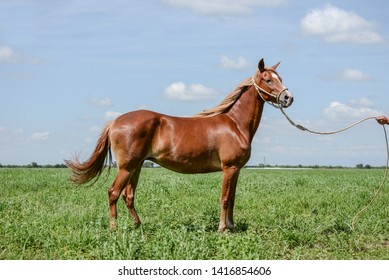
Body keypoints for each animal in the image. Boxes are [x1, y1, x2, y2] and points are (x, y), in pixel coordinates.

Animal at [66, 58, 292, 232]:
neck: (234, 124)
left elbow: (233, 199)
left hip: (136, 167)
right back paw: (114, 228)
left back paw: (138, 225)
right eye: (268, 79)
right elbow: (225, 198)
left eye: (280, 79)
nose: (288, 97)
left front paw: (231, 226)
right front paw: (222, 229)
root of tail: (114, 122)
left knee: (128, 195)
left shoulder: (235, 170)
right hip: (126, 167)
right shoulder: (229, 168)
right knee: (113, 192)